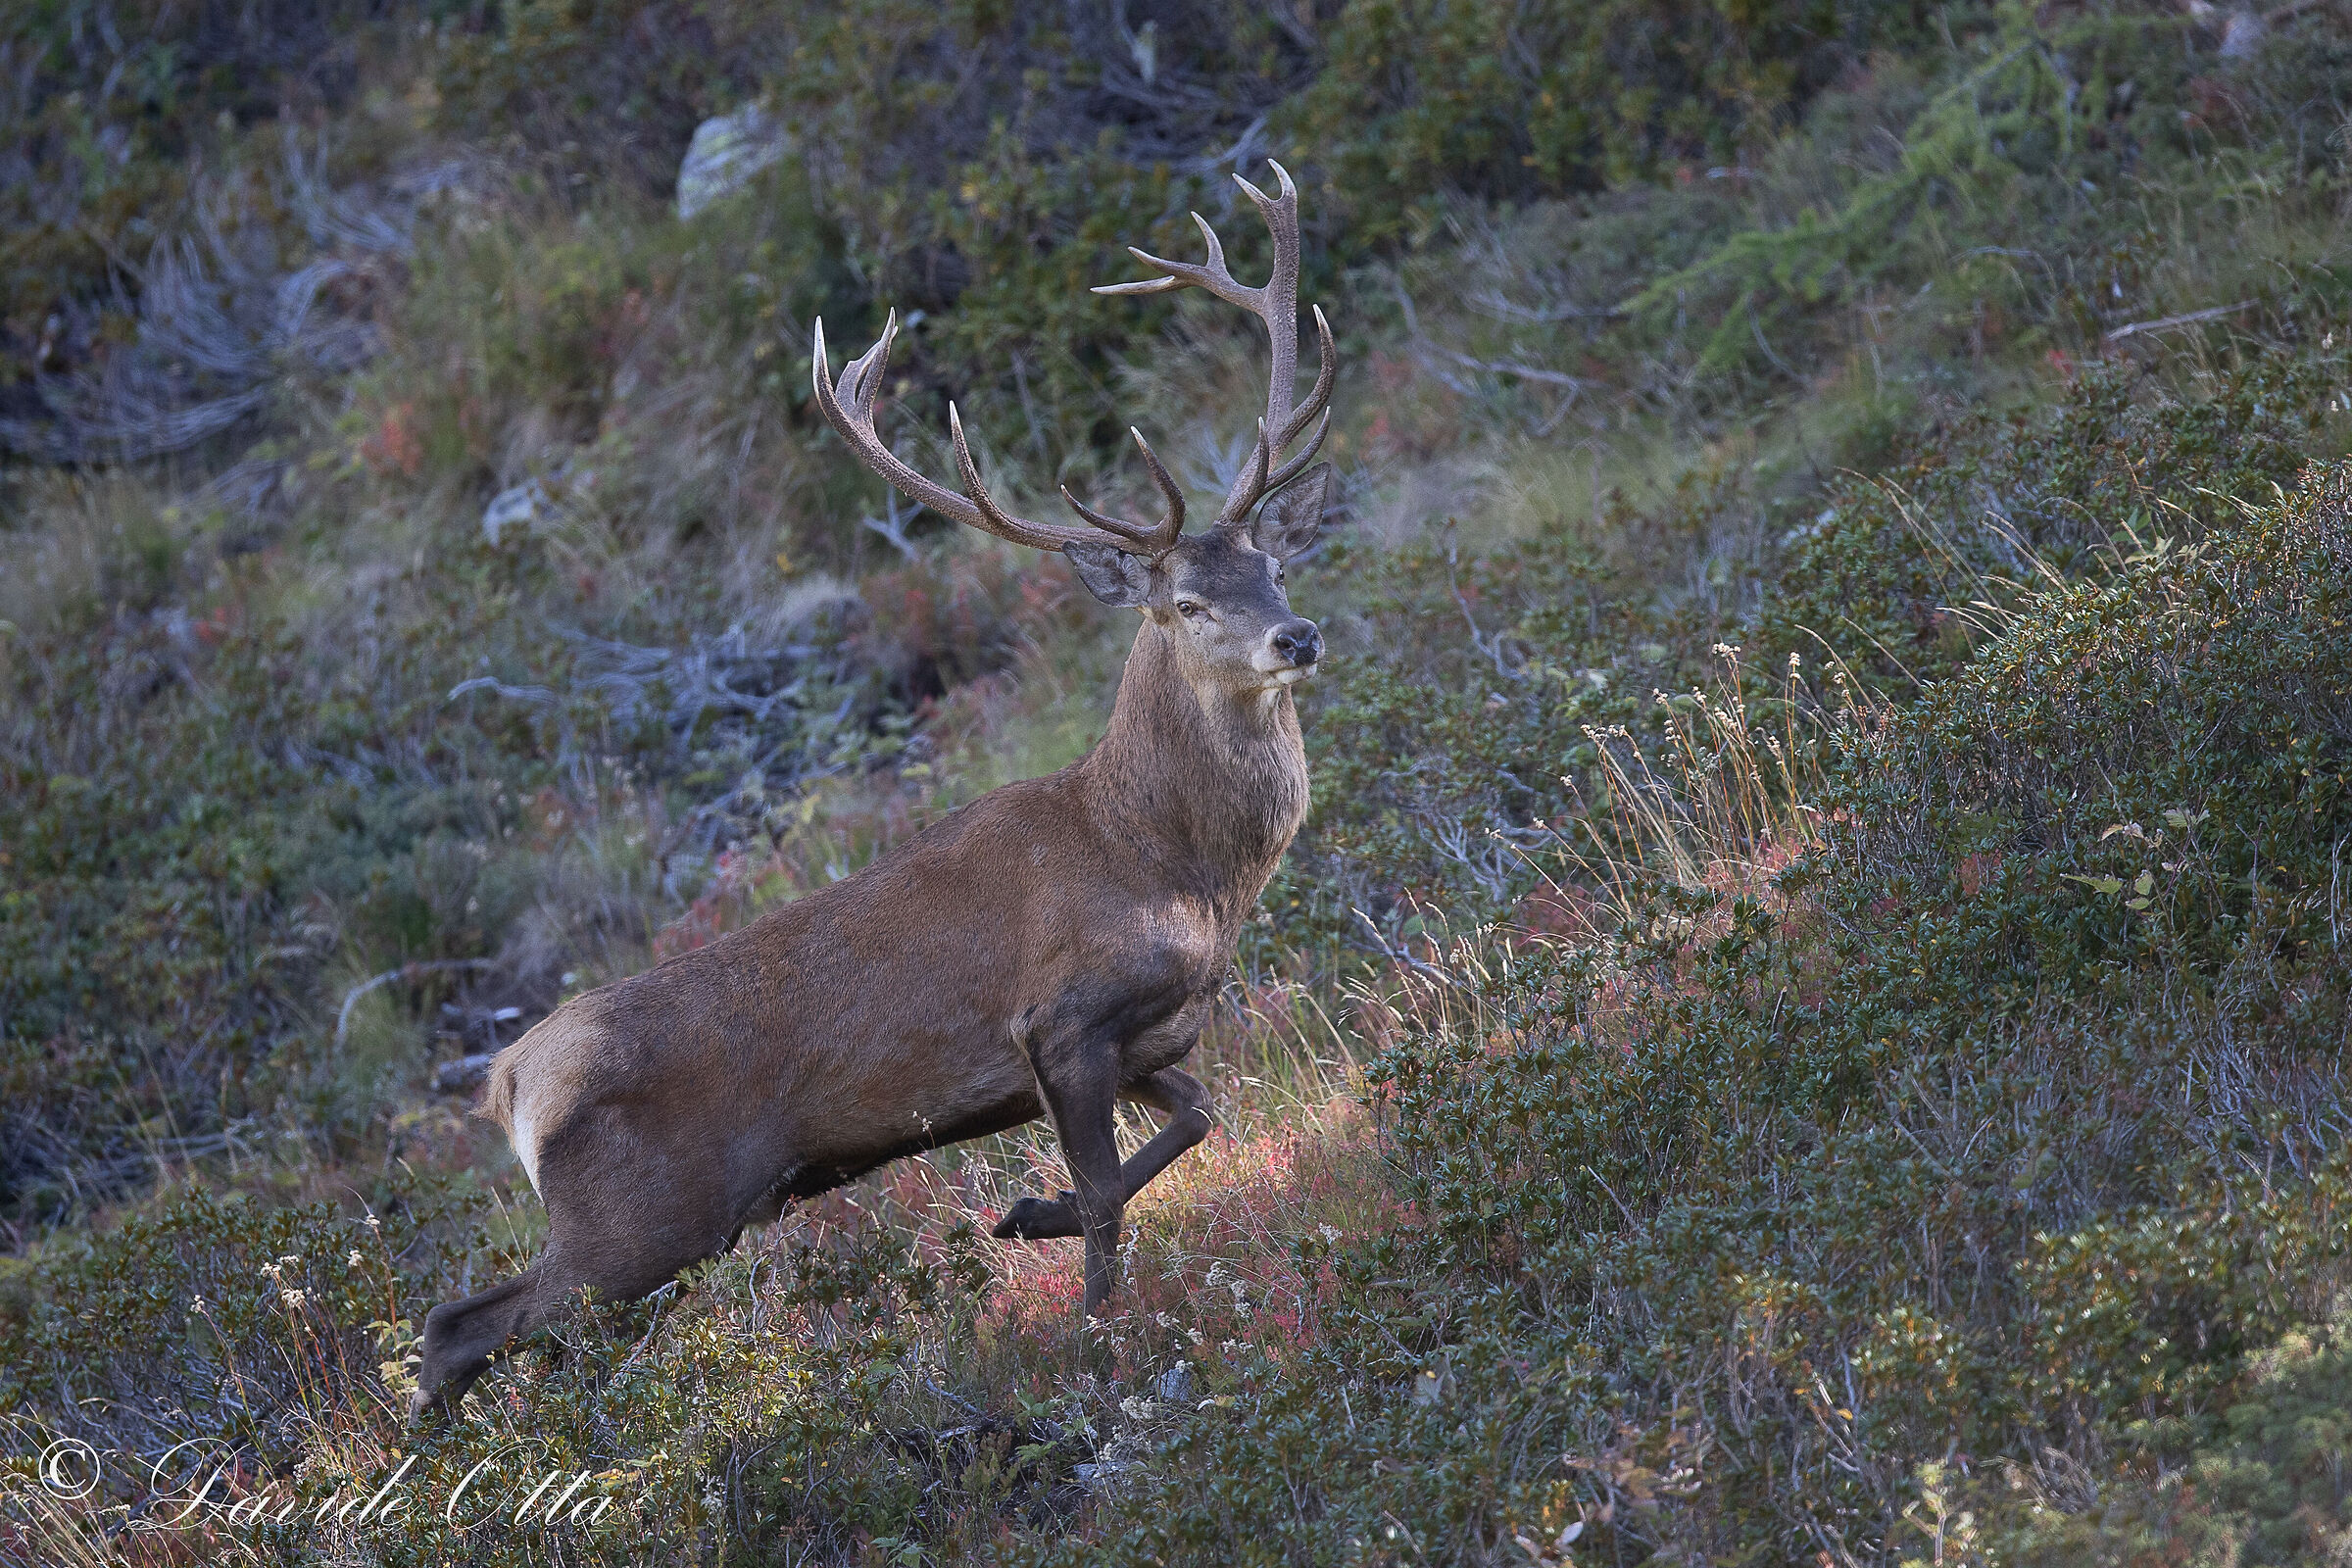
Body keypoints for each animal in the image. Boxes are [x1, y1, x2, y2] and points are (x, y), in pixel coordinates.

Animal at [409, 163, 1339, 1421]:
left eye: (1273, 564)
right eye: (1186, 602)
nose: (1296, 634)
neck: (1173, 864)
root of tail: (510, 1080)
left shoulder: (1149, 1035)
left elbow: (1202, 1113)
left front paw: (1026, 1213)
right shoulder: (1061, 1019)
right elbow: (1108, 1196)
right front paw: (1096, 1338)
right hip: (639, 1218)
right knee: (459, 1323)